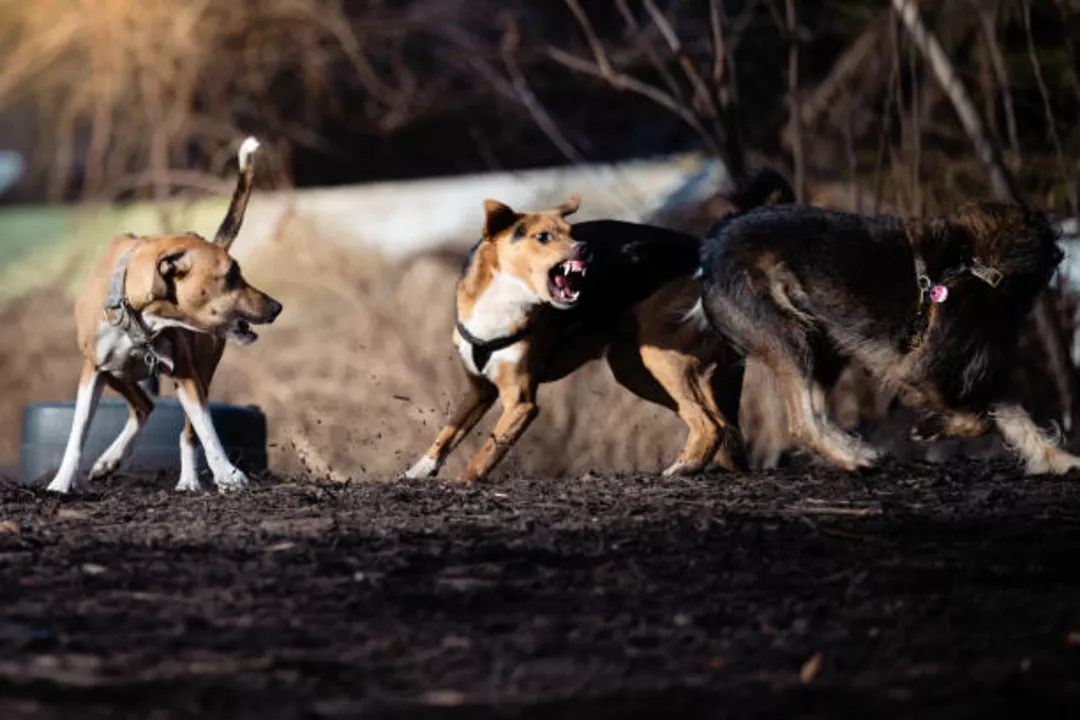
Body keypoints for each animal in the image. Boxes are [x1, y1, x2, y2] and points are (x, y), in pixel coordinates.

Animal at [45, 137, 282, 492]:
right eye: (231, 275)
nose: (277, 307)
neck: (137, 313)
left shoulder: (187, 374)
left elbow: (206, 431)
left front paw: (227, 473)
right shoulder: (93, 369)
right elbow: (77, 432)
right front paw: (60, 483)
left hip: (200, 371)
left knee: (184, 431)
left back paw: (188, 480)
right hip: (116, 374)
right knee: (144, 406)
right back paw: (109, 460)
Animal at [403, 170, 794, 483]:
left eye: (571, 231)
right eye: (543, 237)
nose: (586, 248)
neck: (505, 299)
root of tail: (703, 252)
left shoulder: (521, 401)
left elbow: (491, 447)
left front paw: (465, 481)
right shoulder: (479, 390)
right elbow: (449, 432)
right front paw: (420, 470)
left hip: (660, 357)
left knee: (710, 423)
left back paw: (682, 468)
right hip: (634, 368)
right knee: (718, 423)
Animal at [695, 199, 1075, 474]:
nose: (1063, 252)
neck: (981, 266)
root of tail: (709, 249)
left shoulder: (977, 374)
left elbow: (1018, 419)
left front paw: (1060, 460)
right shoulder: (925, 371)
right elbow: (978, 419)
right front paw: (929, 429)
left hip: (824, 344)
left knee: (817, 412)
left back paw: (853, 449)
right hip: (788, 337)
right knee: (803, 422)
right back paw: (852, 459)